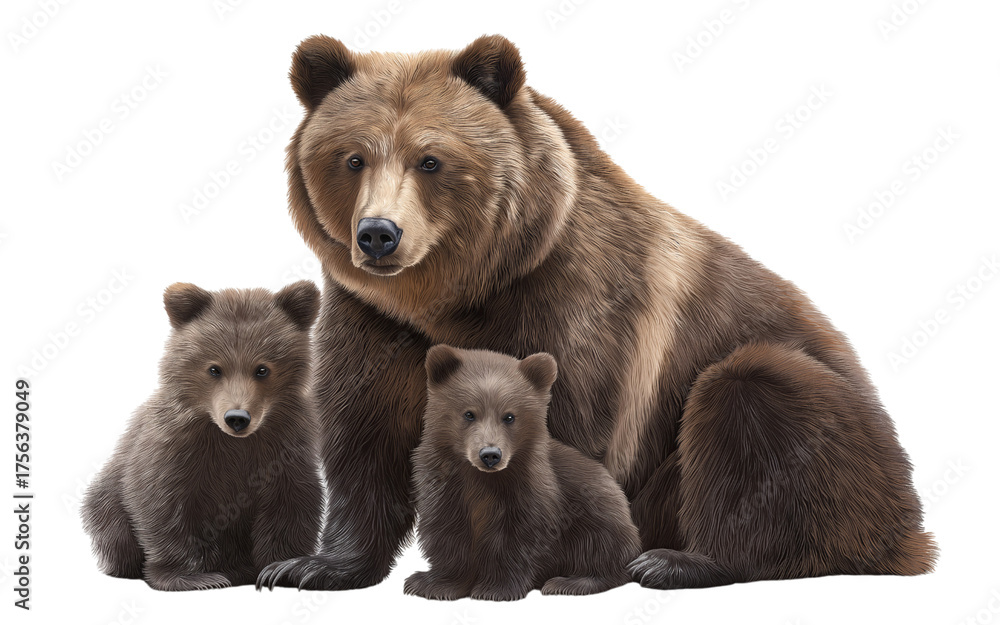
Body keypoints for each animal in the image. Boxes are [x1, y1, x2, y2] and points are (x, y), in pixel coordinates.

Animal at [82, 281, 323, 591]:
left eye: (262, 369)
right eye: (214, 368)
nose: (237, 418)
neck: (233, 443)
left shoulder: (284, 448)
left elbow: (291, 502)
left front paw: (280, 568)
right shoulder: (175, 449)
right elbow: (162, 504)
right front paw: (192, 577)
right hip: (108, 501)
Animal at [404, 345, 642, 601]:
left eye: (509, 416)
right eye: (468, 413)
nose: (490, 455)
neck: (481, 480)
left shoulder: (531, 490)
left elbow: (519, 539)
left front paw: (495, 588)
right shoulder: (443, 486)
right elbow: (448, 532)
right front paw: (431, 583)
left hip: (598, 513)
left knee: (602, 552)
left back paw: (568, 582)